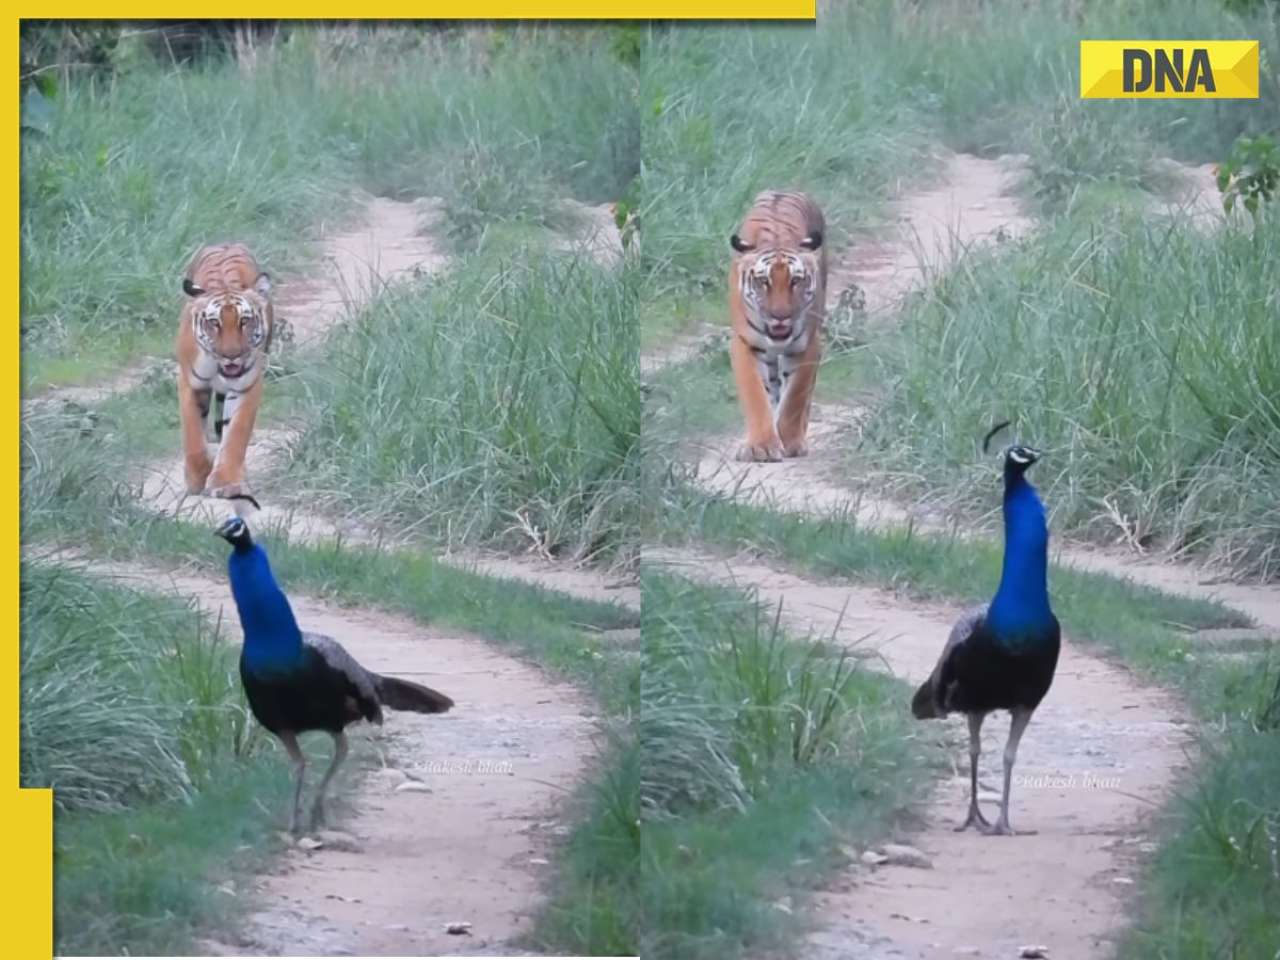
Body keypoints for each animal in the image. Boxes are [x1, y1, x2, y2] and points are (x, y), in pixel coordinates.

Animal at [175, 243, 273, 499]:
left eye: (244, 321)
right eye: (214, 323)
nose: (232, 355)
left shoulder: (248, 385)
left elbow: (236, 434)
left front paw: (225, 482)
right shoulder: (189, 383)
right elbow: (193, 435)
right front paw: (197, 479)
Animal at [728, 190, 827, 462]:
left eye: (796, 281)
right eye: (764, 282)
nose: (780, 316)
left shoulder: (808, 344)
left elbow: (795, 397)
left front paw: (791, 441)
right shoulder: (745, 343)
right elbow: (755, 395)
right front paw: (761, 446)